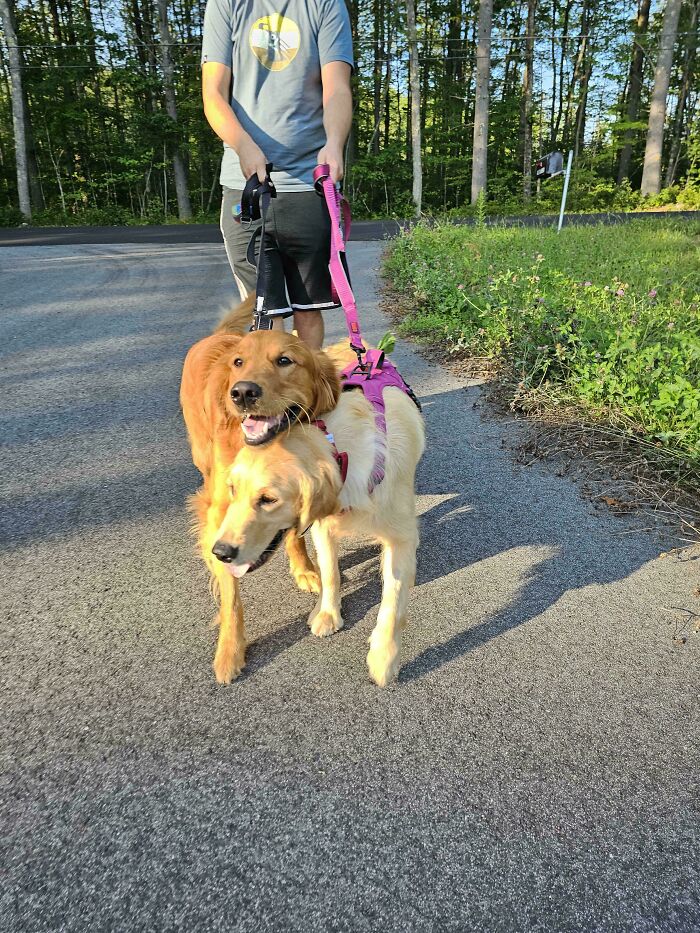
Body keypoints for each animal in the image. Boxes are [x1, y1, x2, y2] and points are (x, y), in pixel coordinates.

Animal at [179, 298, 340, 684]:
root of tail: (219, 336)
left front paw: (304, 569)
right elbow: (230, 591)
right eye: (239, 363)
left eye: (284, 360)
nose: (242, 392)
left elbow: (294, 531)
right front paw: (230, 650)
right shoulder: (221, 514)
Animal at [211, 340, 424, 684]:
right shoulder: (322, 527)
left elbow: (392, 599)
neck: (345, 451)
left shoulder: (402, 538)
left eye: (268, 499)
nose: (220, 552)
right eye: (232, 488)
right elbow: (329, 572)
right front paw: (326, 613)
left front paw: (384, 657)